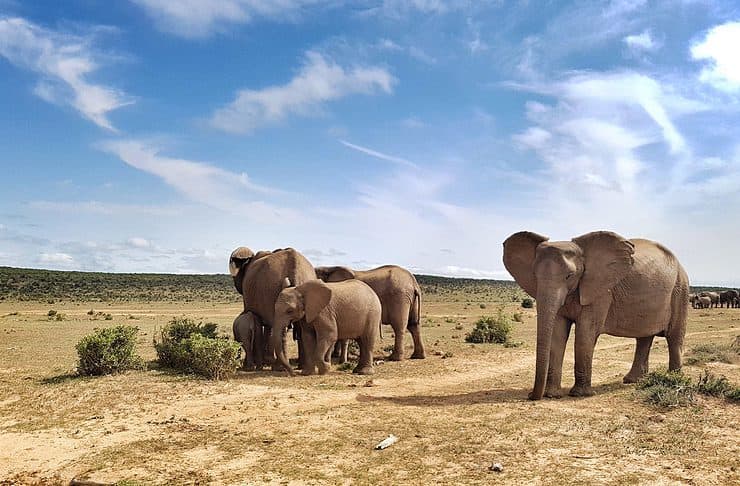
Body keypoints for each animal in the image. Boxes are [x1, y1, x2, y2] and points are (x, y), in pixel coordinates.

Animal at [503, 230, 689, 400]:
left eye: (569, 276)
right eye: (535, 275)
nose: (530, 395)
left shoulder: (600, 291)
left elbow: (585, 333)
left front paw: (580, 394)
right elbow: (557, 334)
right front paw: (552, 395)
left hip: (680, 289)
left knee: (674, 337)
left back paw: (674, 378)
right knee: (644, 337)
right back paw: (632, 381)